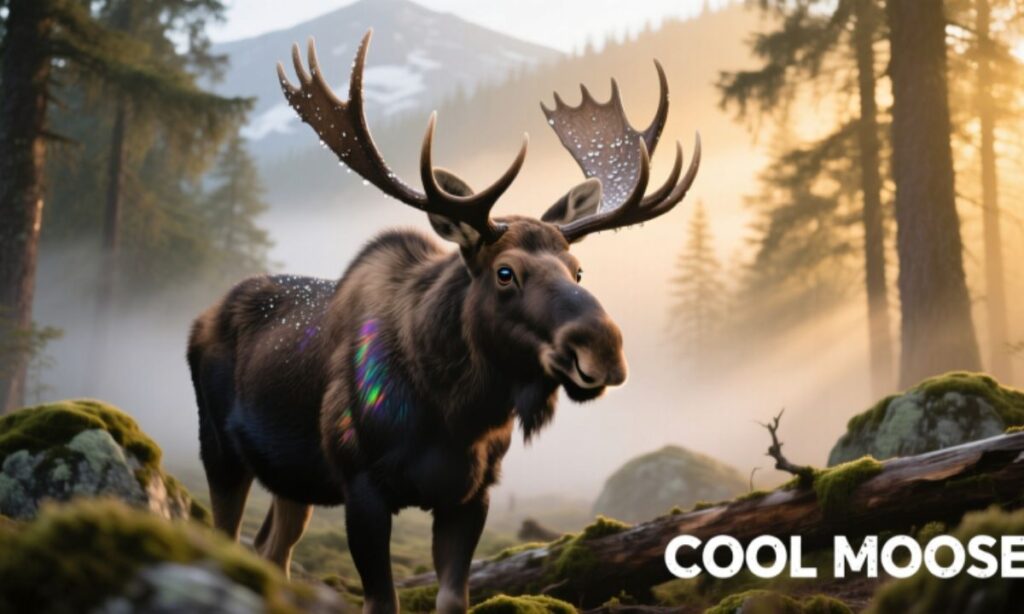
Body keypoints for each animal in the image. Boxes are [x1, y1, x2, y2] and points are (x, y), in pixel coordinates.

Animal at [187, 30, 699, 614]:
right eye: (505, 272)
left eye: (578, 269)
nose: (604, 348)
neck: (454, 412)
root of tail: (202, 317)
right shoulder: (362, 484)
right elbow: (381, 600)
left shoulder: (473, 493)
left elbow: (454, 597)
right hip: (220, 449)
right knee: (226, 536)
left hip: (292, 479)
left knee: (271, 548)